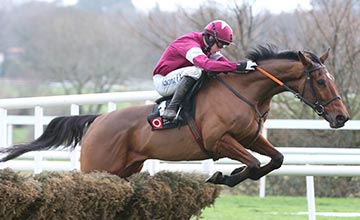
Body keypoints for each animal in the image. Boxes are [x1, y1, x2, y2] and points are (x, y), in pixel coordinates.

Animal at [0, 45, 348, 187]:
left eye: (331, 79)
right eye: (320, 81)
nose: (342, 117)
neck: (246, 92)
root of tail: (98, 120)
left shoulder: (250, 137)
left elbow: (274, 160)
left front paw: (229, 174)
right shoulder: (219, 140)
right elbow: (251, 164)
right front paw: (223, 176)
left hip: (124, 169)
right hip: (97, 166)